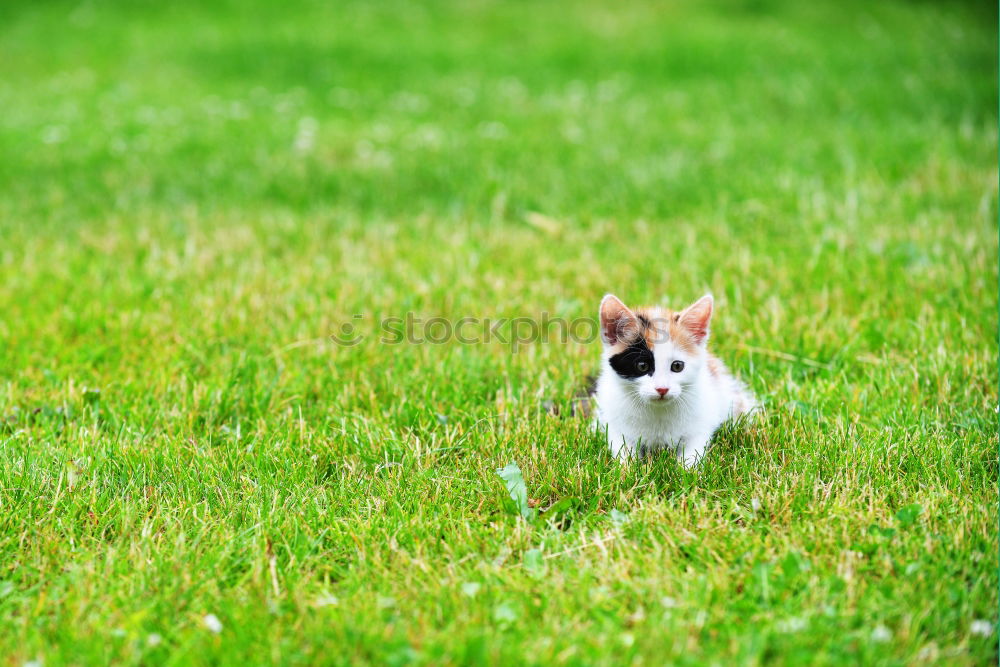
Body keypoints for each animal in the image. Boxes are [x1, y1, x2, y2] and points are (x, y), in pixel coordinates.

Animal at [592, 294, 756, 468]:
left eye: (677, 366)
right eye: (642, 366)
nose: (662, 389)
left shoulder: (701, 423)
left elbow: (693, 450)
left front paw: (687, 470)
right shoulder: (616, 425)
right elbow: (623, 448)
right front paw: (627, 469)